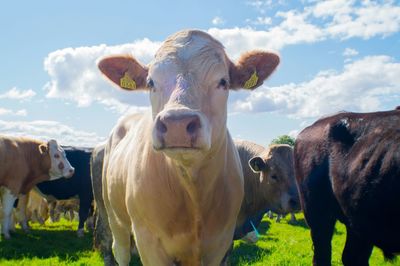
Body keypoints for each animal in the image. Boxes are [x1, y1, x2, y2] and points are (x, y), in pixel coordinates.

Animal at [97, 29, 278, 266]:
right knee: (121, 252)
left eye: (223, 81)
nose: (177, 124)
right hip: (114, 216)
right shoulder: (148, 242)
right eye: (150, 82)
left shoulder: (220, 242)